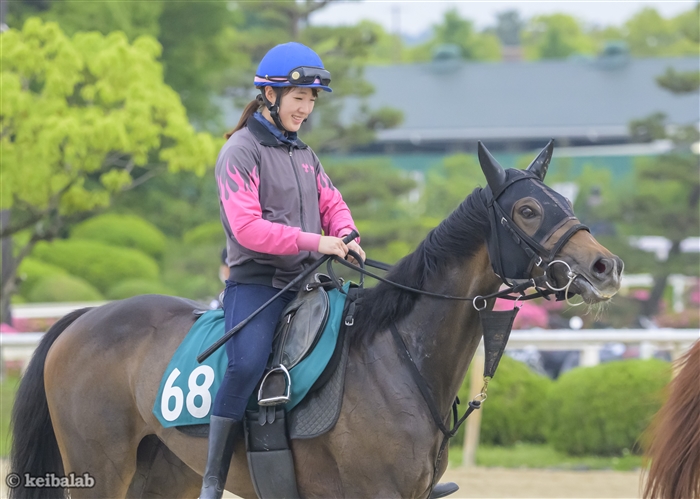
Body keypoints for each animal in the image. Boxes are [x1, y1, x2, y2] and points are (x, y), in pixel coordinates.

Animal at [9, 143, 624, 498]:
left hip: (160, 475)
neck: (396, 358)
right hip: (98, 469)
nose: (607, 266)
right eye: (527, 210)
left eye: (566, 201)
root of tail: (83, 319)